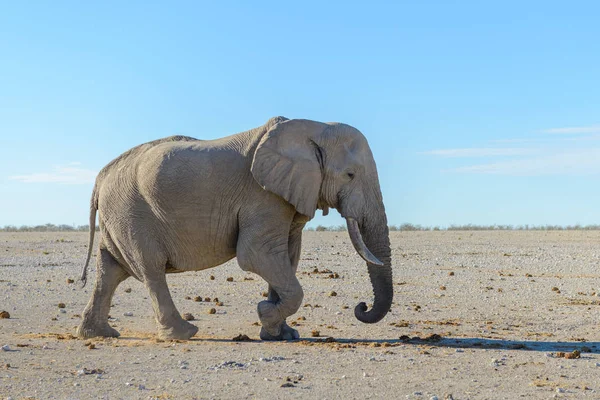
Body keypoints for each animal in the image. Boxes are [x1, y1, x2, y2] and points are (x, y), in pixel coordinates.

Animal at [76, 115, 394, 340]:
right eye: (350, 175)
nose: (362, 307)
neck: (313, 127)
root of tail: (101, 177)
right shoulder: (262, 196)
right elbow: (257, 255)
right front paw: (266, 315)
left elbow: (288, 257)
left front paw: (281, 334)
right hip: (132, 213)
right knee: (150, 268)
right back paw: (183, 334)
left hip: (119, 215)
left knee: (111, 270)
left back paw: (99, 334)